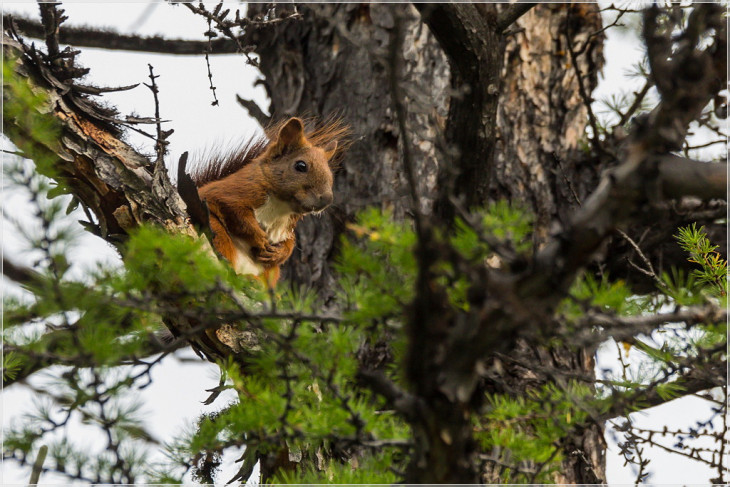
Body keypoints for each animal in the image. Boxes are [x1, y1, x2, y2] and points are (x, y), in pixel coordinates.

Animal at [189, 118, 346, 286]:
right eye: (301, 165)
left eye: (330, 173)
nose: (327, 199)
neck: (281, 206)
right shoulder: (230, 192)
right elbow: (238, 215)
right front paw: (260, 238)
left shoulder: (287, 227)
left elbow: (289, 243)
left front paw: (279, 253)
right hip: (215, 229)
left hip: (271, 270)